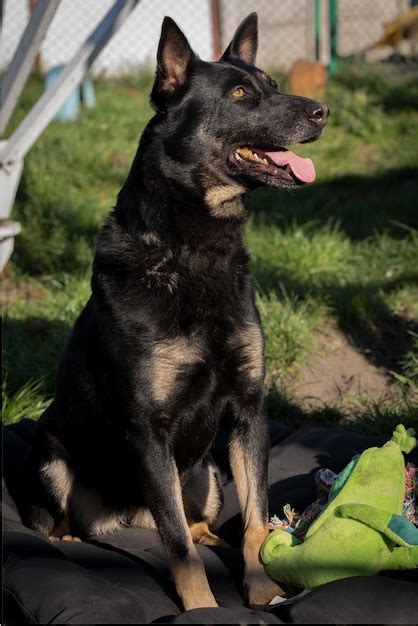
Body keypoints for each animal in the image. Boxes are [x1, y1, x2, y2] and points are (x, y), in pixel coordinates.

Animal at [23, 13, 330, 608]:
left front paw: (261, 591)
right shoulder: (150, 432)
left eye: (273, 85)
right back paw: (71, 537)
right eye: (240, 94)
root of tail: (124, 518)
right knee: (68, 524)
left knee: (196, 524)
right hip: (51, 457)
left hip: (204, 474)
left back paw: (214, 536)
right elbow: (179, 550)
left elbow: (256, 521)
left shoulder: (247, 411)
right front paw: (203, 610)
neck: (193, 250)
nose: (322, 111)